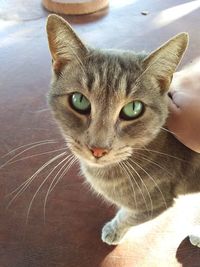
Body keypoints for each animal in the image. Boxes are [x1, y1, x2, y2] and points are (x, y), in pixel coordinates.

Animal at [45, 14, 200, 247]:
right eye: (79, 100)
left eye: (133, 108)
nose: (98, 149)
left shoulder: (157, 201)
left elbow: (129, 216)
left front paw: (114, 230)